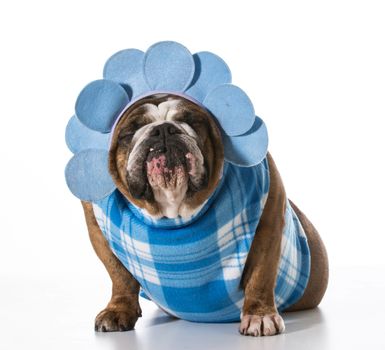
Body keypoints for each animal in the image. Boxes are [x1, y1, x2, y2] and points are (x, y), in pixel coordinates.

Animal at [80, 93, 328, 336]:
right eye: (129, 132)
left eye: (192, 121)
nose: (163, 130)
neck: (173, 208)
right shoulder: (97, 228)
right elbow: (119, 275)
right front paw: (118, 310)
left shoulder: (268, 224)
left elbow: (261, 275)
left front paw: (259, 315)